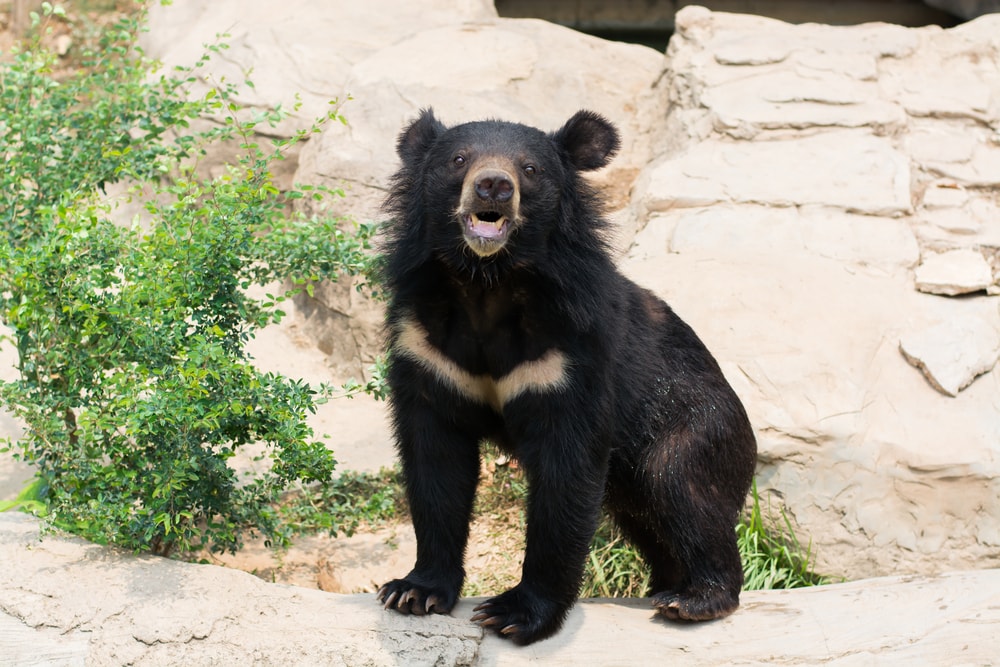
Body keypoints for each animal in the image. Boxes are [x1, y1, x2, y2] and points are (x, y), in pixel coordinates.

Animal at [375, 108, 757, 646]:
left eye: (530, 169)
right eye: (459, 160)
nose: (494, 186)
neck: (486, 284)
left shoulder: (572, 356)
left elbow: (566, 477)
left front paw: (515, 613)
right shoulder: (427, 352)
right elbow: (437, 465)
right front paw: (414, 592)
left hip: (696, 427)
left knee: (681, 487)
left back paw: (696, 598)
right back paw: (666, 587)